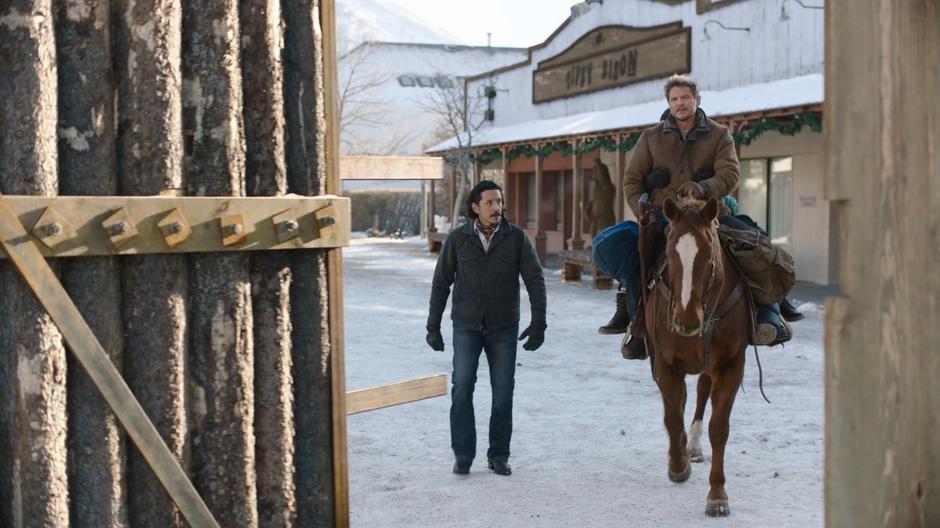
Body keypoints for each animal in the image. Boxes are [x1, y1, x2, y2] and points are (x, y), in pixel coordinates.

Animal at [640, 196, 748, 516]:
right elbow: (672, 416)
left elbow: (719, 428)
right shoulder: (665, 362)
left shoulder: (731, 364)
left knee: (701, 391)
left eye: (708, 255)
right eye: (670, 252)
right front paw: (678, 466)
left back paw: (695, 445)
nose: (686, 320)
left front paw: (717, 495)